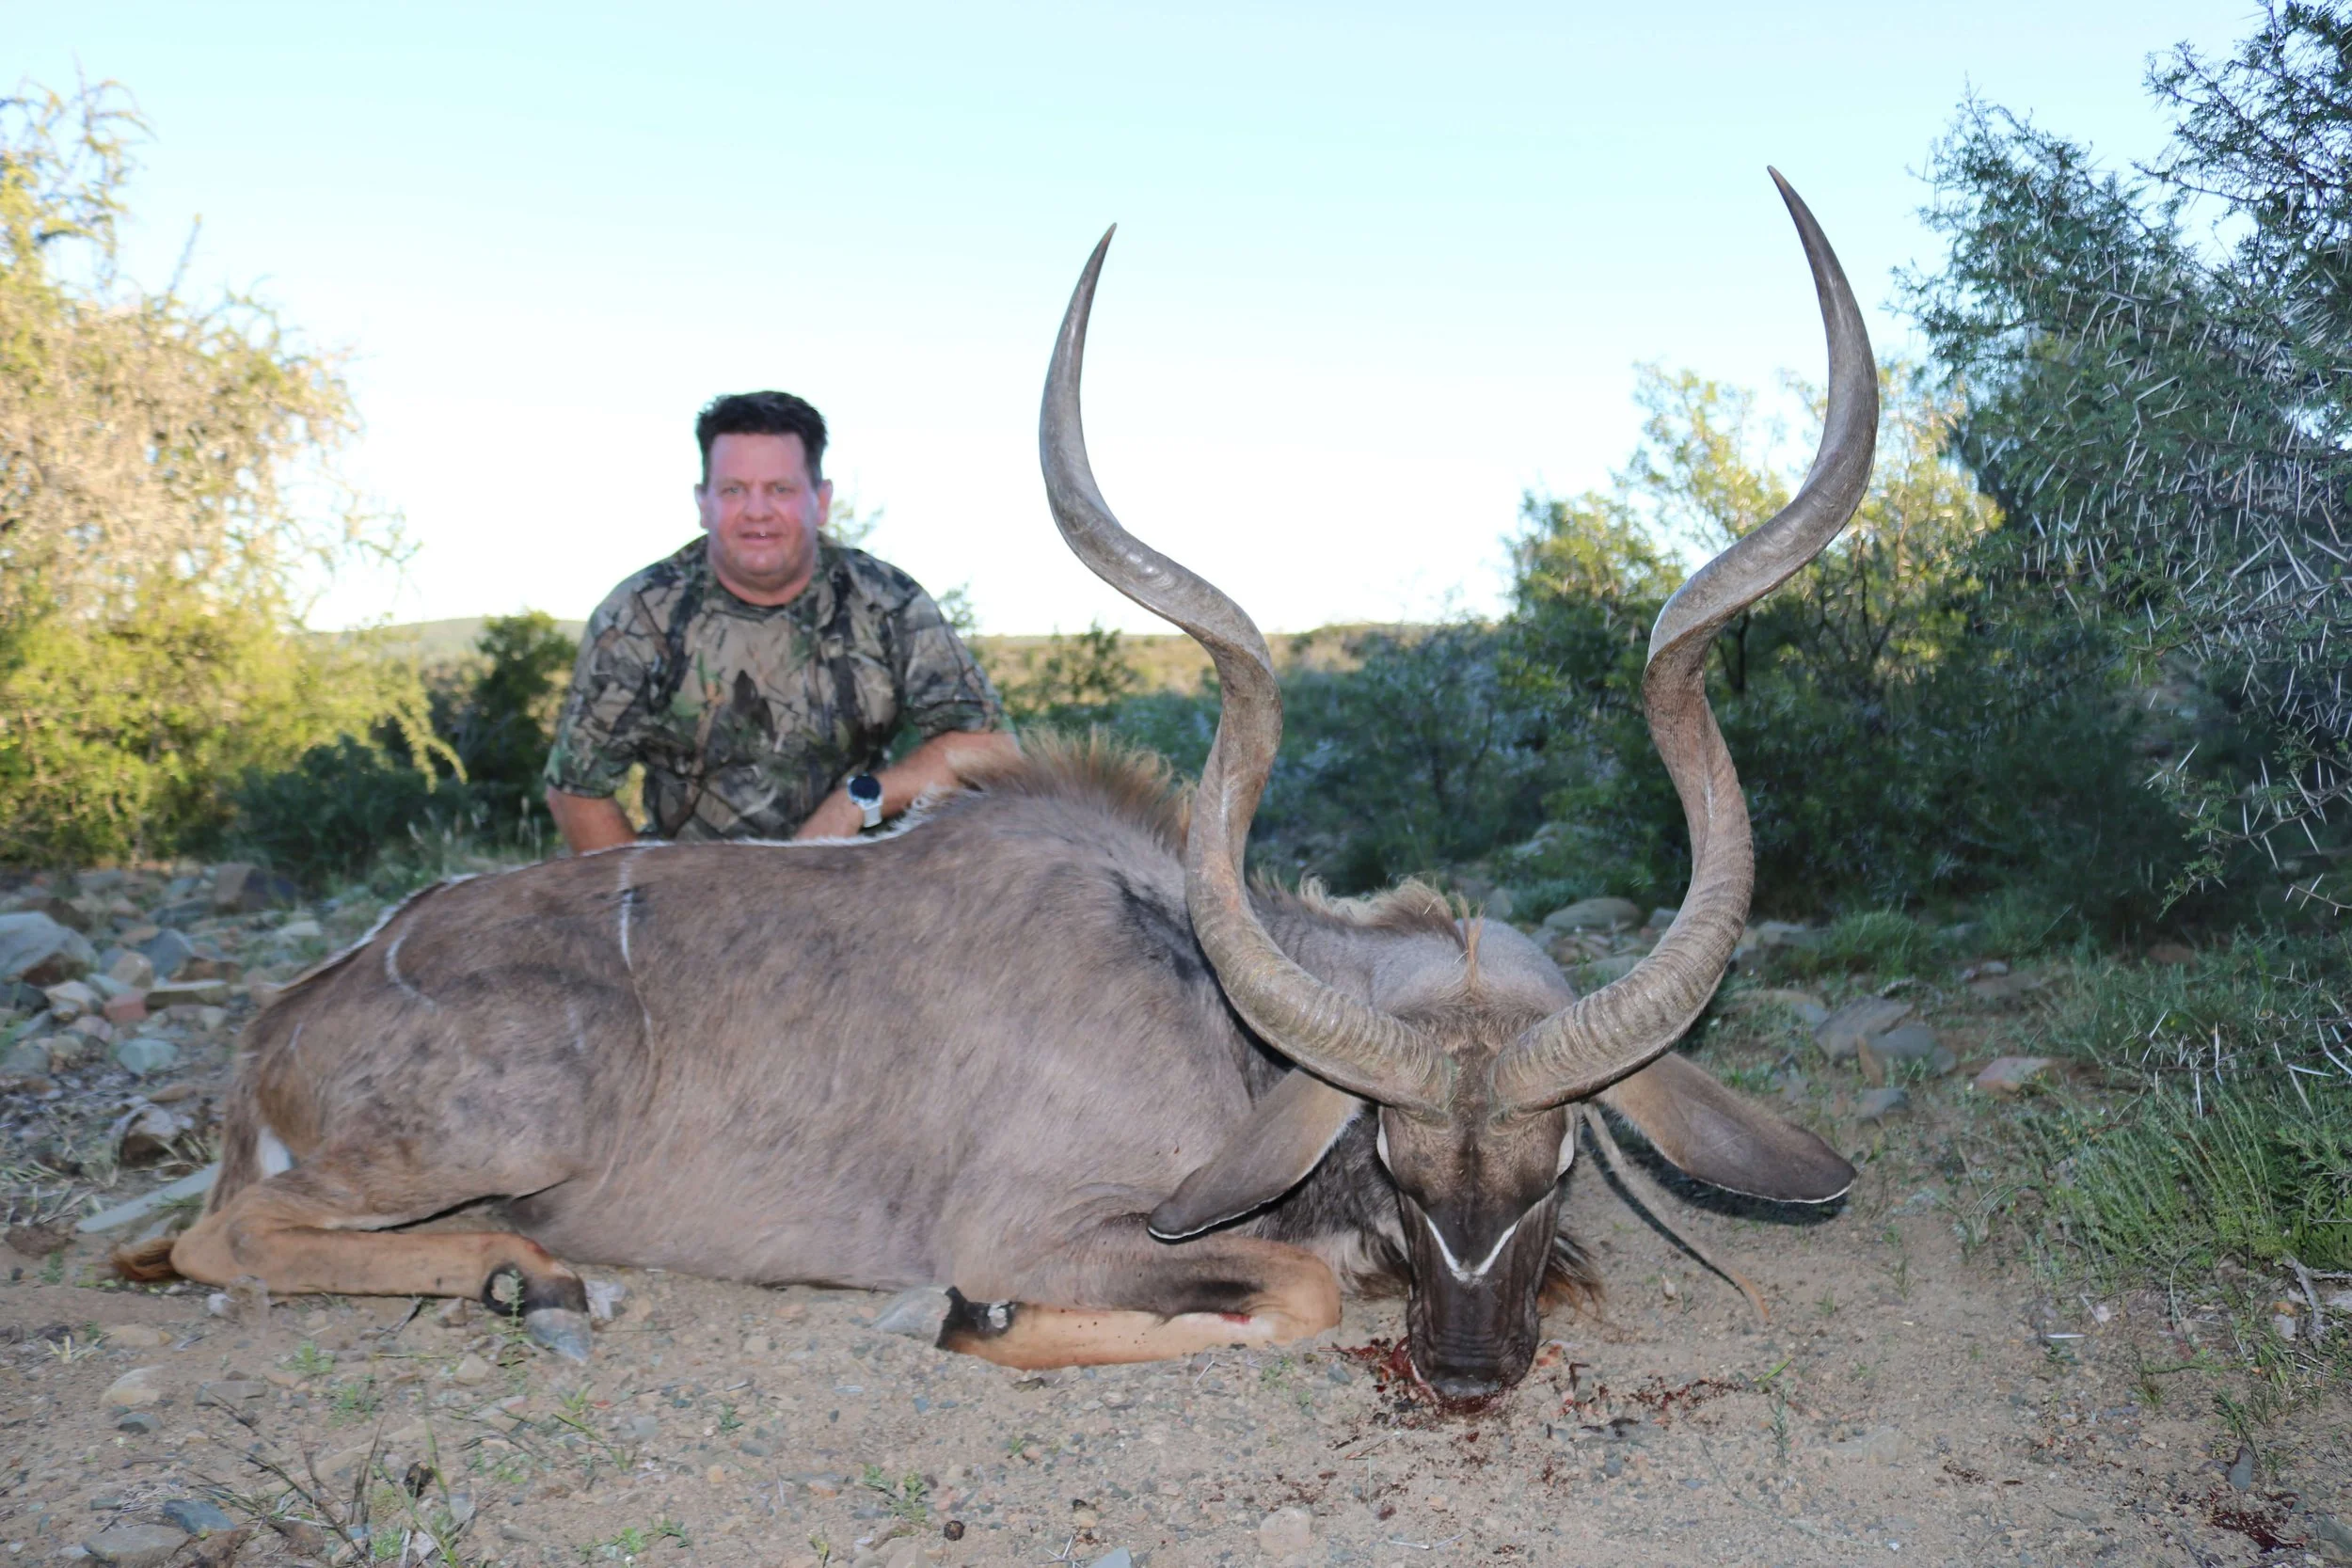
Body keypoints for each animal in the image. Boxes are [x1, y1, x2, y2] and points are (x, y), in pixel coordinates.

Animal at [133, 170, 1874, 1397]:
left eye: (1563, 1156)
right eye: (1387, 1150)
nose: (1465, 1368)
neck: (1209, 1007)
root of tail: (273, 1031)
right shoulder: (1044, 1223)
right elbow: (1283, 1288)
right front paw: (964, 1320)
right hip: (511, 1117)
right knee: (222, 1234)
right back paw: (533, 1270)